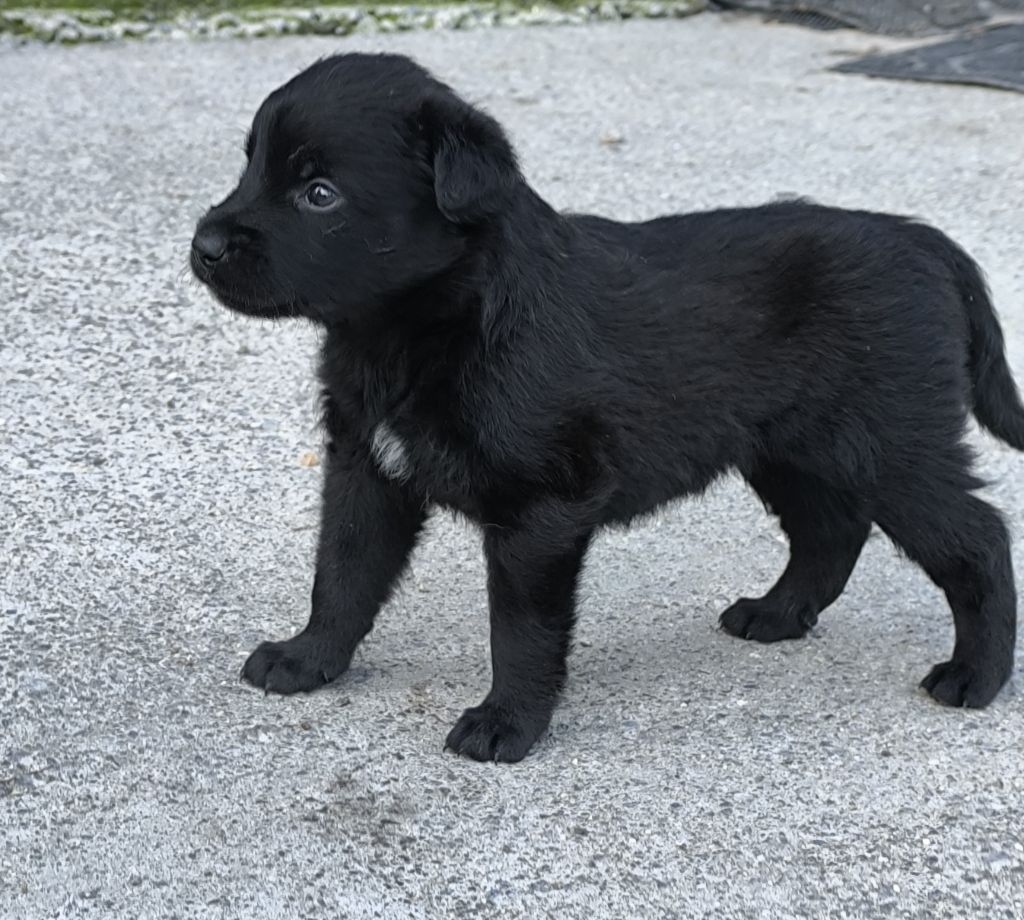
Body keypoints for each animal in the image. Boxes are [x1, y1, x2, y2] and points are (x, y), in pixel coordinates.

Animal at [190, 50, 1015, 762]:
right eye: (249, 164)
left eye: (319, 194)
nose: (204, 245)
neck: (429, 322)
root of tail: (926, 242)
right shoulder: (367, 467)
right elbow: (342, 572)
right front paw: (308, 658)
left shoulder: (541, 510)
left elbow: (520, 628)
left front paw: (507, 723)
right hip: (793, 449)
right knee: (831, 531)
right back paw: (777, 615)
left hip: (894, 443)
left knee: (977, 537)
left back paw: (977, 676)